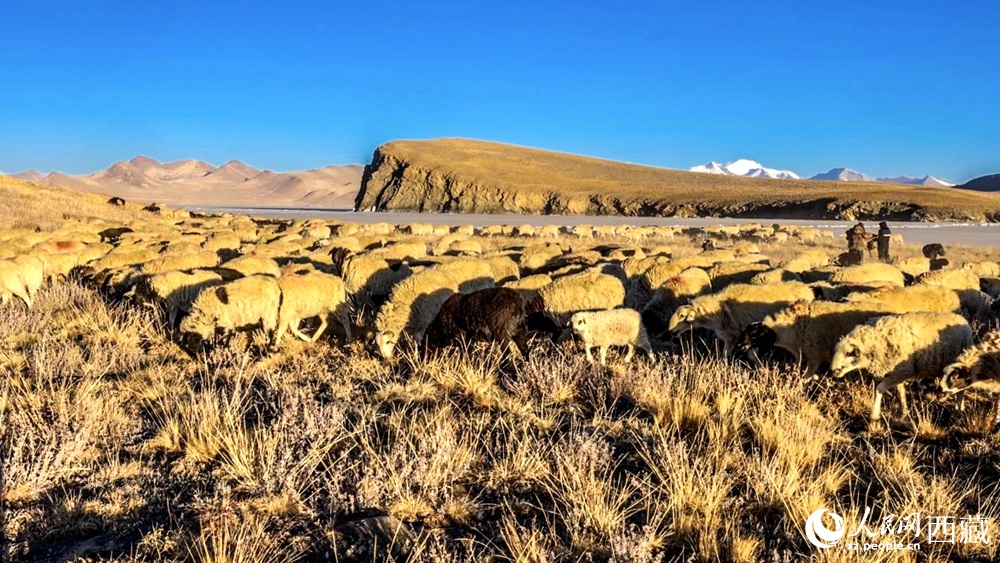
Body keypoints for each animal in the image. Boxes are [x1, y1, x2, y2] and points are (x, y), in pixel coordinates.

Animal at [668, 282, 816, 356]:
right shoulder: (730, 338)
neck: (721, 309)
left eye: (682, 316)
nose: (670, 332)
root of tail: (808, 289)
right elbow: (724, 355)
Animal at [828, 312, 976, 424]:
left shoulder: (903, 370)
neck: (876, 341)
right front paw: (904, 412)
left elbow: (879, 389)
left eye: (848, 353)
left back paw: (958, 410)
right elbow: (901, 393)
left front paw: (874, 415)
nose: (833, 370)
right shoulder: (898, 372)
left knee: (962, 390)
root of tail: (965, 323)